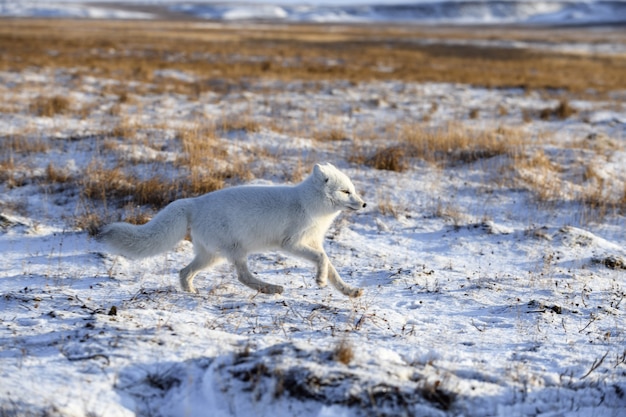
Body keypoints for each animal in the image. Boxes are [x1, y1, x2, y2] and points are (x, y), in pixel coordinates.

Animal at [97, 162, 366, 296]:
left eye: (353, 190)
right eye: (345, 192)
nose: (364, 204)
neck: (309, 205)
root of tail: (194, 202)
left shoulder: (312, 242)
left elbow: (330, 266)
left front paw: (348, 290)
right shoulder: (291, 243)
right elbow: (322, 260)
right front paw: (319, 280)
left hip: (210, 256)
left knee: (184, 271)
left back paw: (191, 292)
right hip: (235, 252)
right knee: (242, 276)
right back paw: (271, 289)